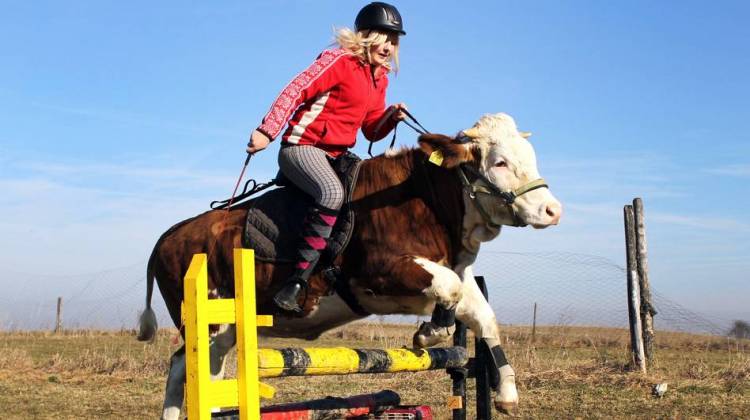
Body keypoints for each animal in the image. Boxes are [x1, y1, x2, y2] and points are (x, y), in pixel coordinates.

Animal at [137, 113, 562, 419]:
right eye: (500, 162)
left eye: (531, 158)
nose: (552, 210)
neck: (425, 199)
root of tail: (171, 234)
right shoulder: (378, 272)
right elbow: (449, 290)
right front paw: (430, 333)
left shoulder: (450, 271)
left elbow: (483, 316)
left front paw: (505, 391)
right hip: (209, 324)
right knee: (188, 369)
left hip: (222, 331)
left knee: (195, 368)